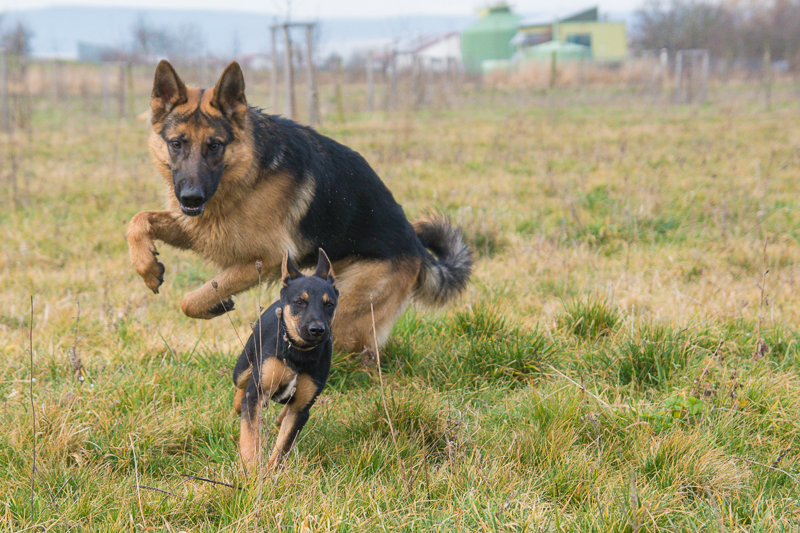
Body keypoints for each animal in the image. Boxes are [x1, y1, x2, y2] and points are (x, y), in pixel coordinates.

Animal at [128, 60, 472, 354]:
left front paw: (213, 301)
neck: (248, 173)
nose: (191, 198)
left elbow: (191, 298)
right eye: (177, 143)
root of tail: (417, 247)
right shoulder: (198, 228)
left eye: (214, 146)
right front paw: (148, 268)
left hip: (344, 310)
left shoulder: (265, 259)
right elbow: (138, 221)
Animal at [233, 247, 340, 468]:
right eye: (299, 302)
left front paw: (271, 471)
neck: (298, 352)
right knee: (240, 387)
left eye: (329, 304)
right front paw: (250, 468)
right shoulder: (256, 392)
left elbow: (283, 446)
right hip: (243, 366)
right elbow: (250, 435)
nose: (318, 330)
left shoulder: (301, 410)